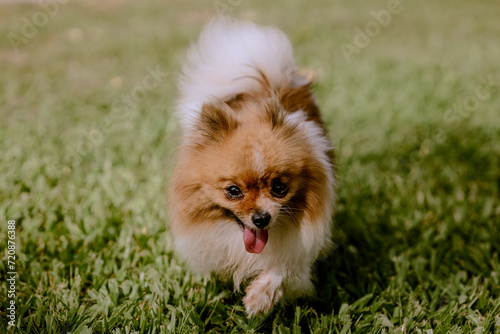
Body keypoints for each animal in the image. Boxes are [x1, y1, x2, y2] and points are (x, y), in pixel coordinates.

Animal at [168, 18, 336, 316]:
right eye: (233, 191)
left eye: (279, 187)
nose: (261, 218)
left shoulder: (299, 249)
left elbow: (283, 268)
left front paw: (259, 298)